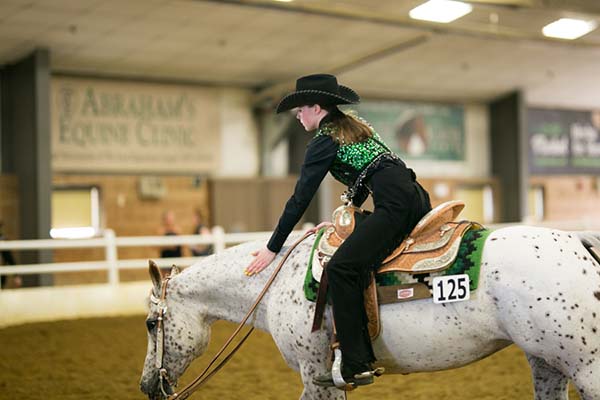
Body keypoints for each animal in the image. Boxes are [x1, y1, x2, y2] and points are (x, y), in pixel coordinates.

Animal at [138, 227, 600, 398]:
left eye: (150, 323)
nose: (145, 385)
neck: (279, 279)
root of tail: (578, 241)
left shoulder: (316, 373)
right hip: (545, 363)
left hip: (586, 367)